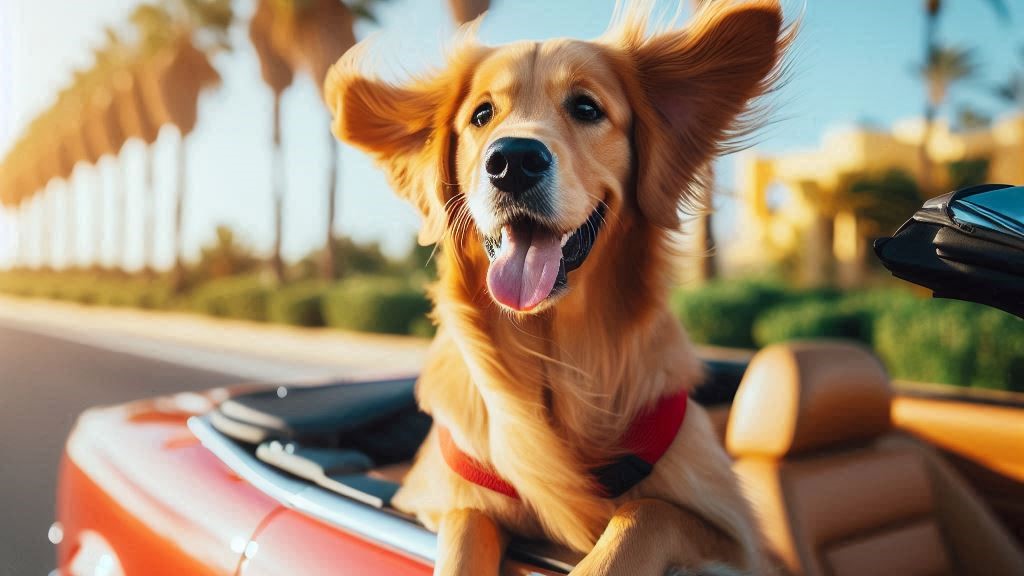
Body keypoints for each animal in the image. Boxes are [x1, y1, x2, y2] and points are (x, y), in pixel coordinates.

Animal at [327, 2, 790, 569]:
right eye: (482, 115)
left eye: (587, 108)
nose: (512, 161)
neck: (551, 352)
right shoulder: (443, 497)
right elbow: (465, 522)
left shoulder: (734, 535)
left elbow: (644, 513)